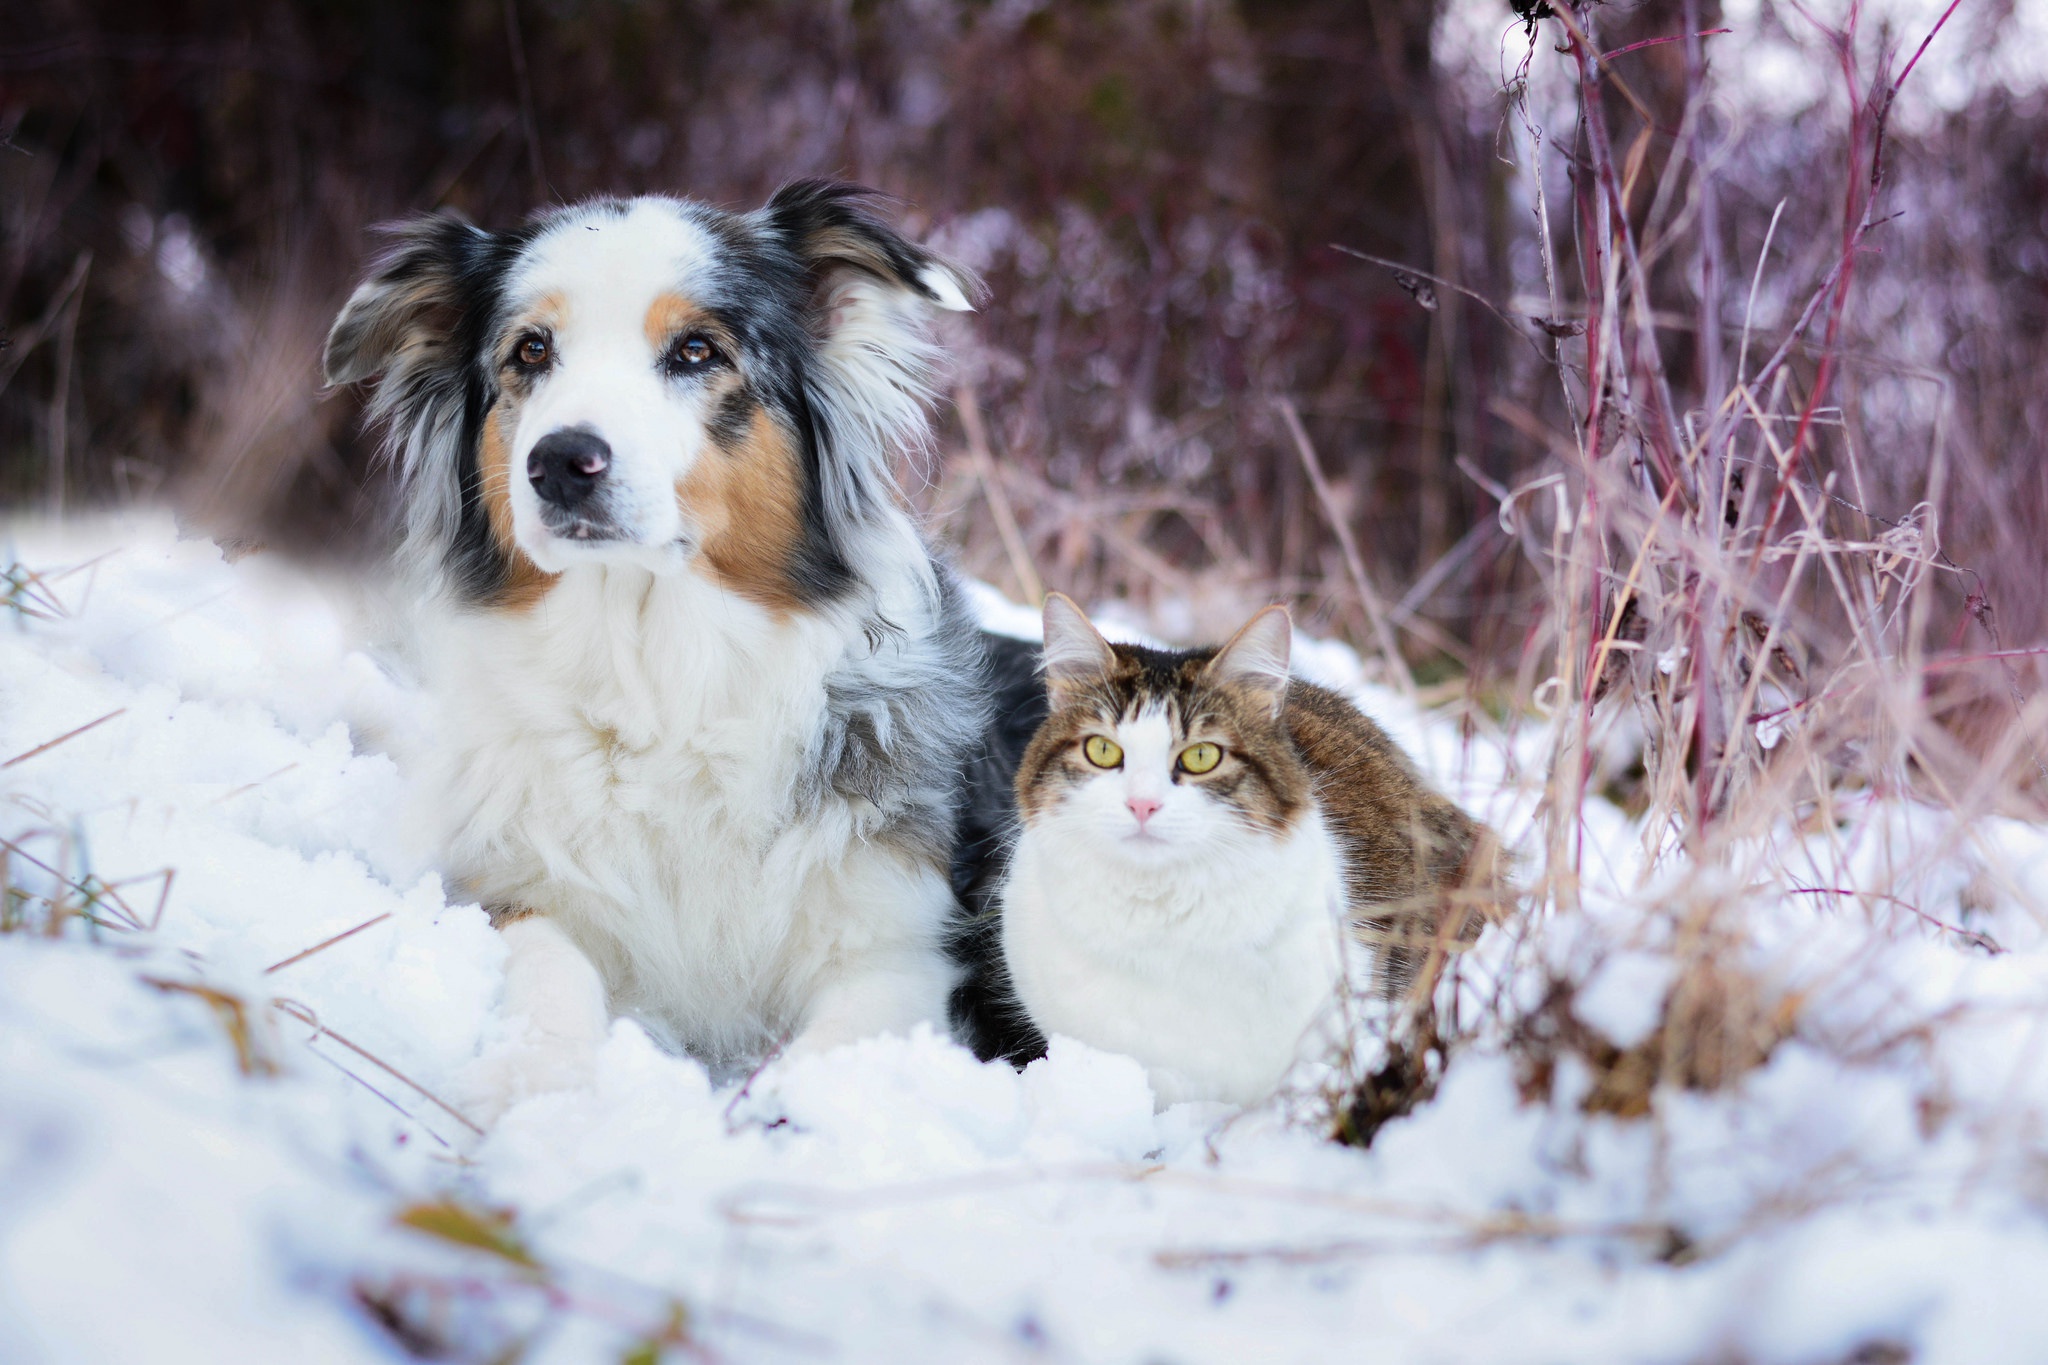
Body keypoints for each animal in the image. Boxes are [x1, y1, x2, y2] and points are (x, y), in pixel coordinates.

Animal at [325, 184, 1032, 1121]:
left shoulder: (900, 950)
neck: (657, 674)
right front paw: (529, 1079)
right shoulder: (512, 885)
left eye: (697, 349)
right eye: (531, 350)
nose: (561, 462)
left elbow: (836, 1049)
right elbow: (550, 966)